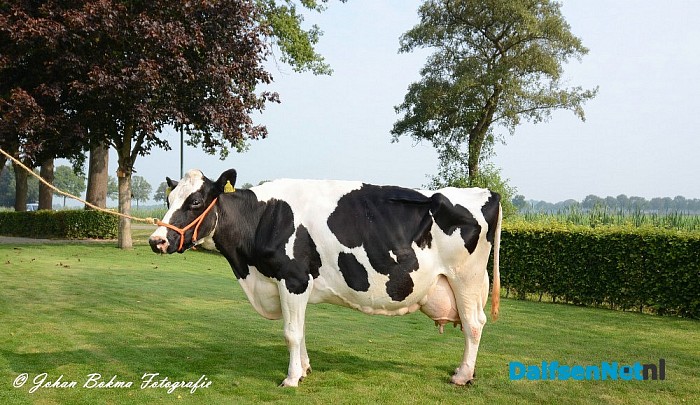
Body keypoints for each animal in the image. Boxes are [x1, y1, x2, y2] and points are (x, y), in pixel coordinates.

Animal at [149, 168, 501, 387]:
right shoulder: (293, 286)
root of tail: (486, 192)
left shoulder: (292, 279)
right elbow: (301, 331)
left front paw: (291, 378)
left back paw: (462, 375)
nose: (157, 240)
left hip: (466, 279)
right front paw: (304, 369)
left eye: (195, 201)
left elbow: (291, 333)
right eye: (168, 200)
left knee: (474, 324)